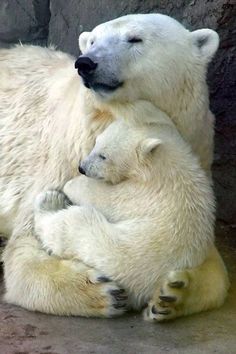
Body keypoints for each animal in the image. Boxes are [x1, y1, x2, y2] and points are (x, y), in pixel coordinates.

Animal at [0, 13, 227, 318]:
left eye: (135, 38)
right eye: (92, 41)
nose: (86, 63)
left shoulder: (195, 150)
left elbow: (212, 265)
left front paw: (174, 292)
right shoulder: (66, 153)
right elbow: (25, 248)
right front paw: (100, 292)